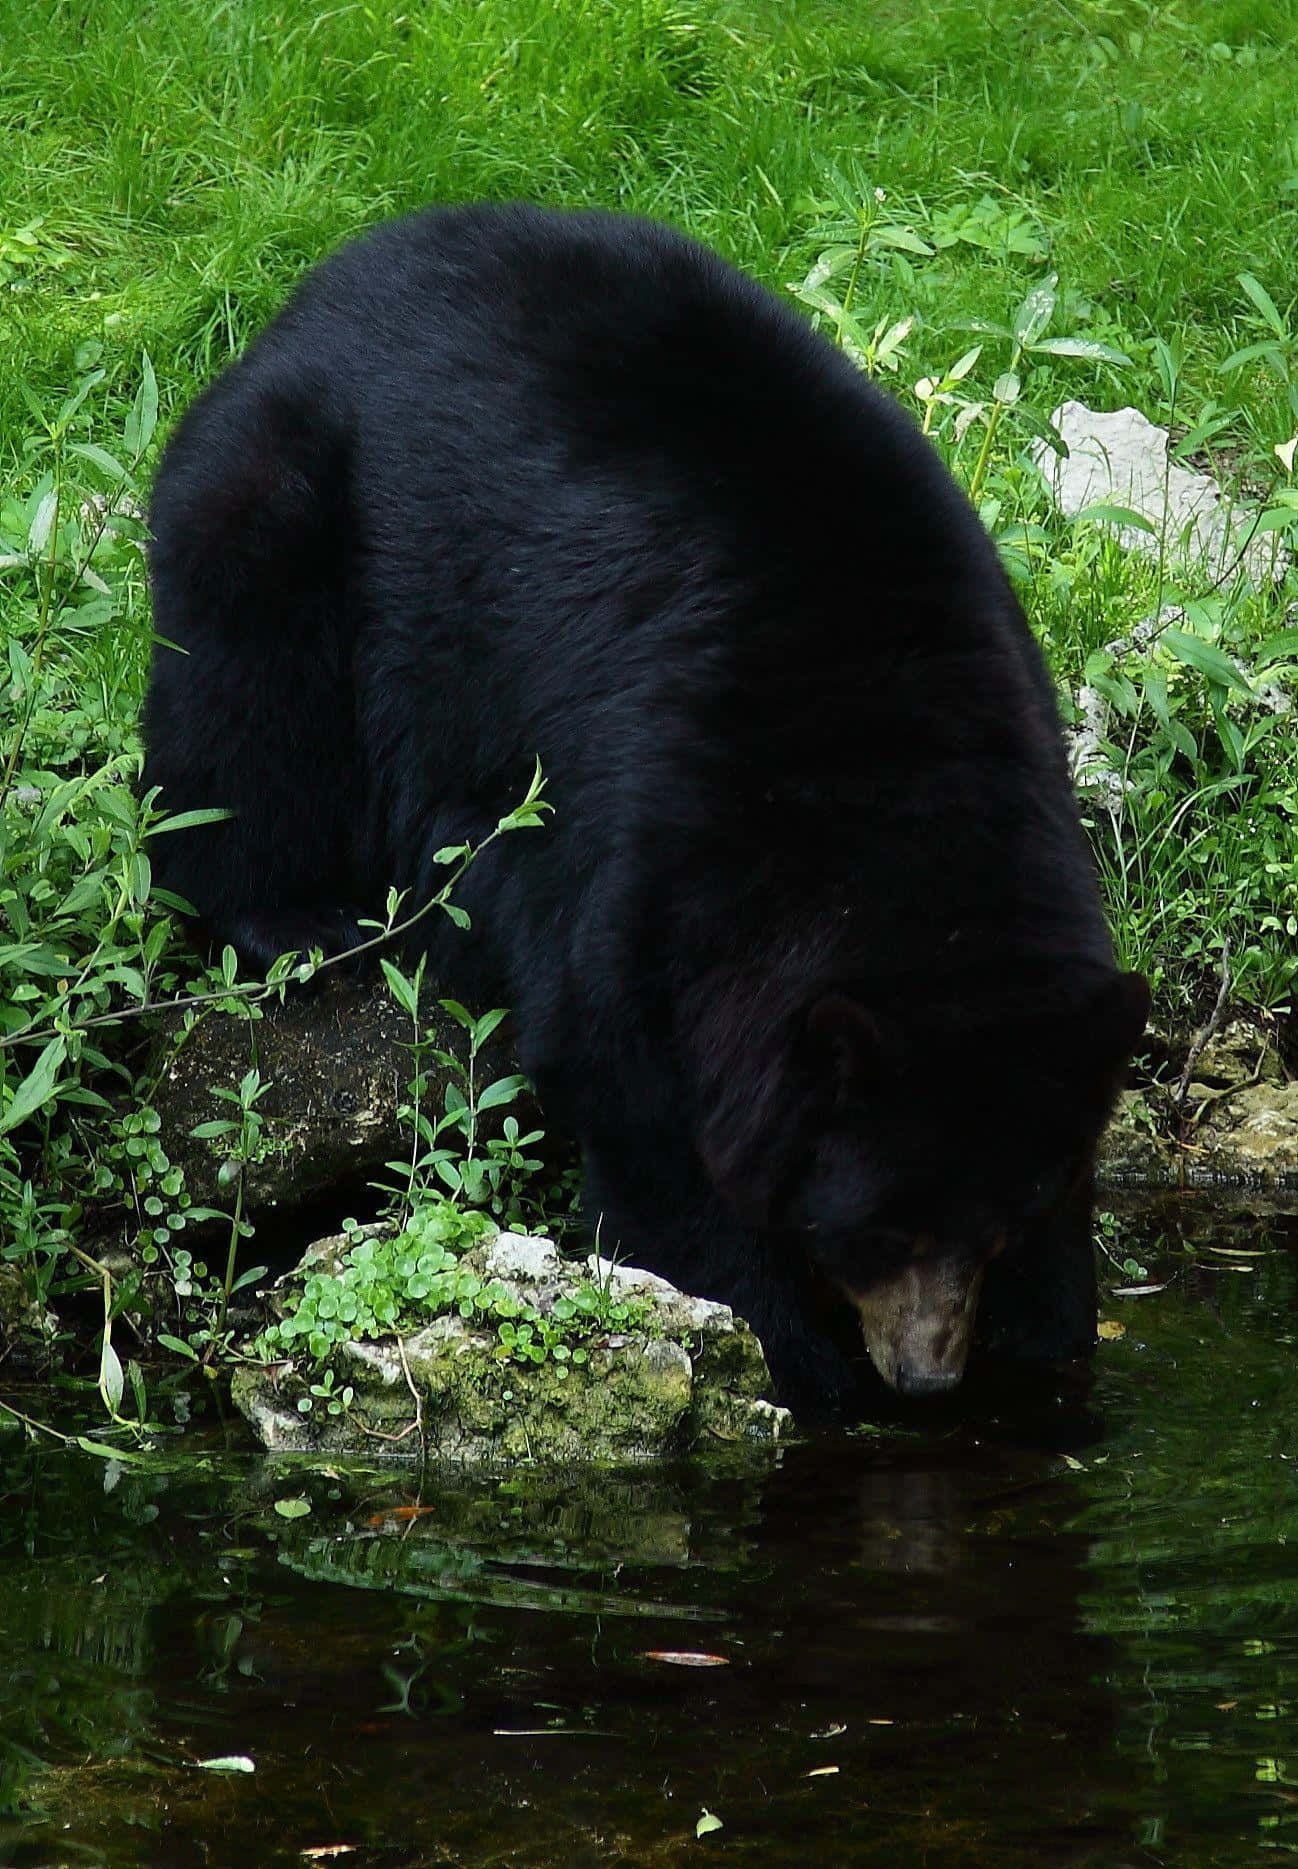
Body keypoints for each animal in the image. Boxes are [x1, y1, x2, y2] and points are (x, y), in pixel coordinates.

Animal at [142, 203, 1148, 1411]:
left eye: (994, 1227)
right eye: (881, 1231)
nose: (925, 1378)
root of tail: (323, 279)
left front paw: (1046, 1346)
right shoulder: (653, 840)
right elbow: (638, 1104)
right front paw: (800, 1364)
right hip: (289, 499)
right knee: (240, 702)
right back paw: (297, 921)